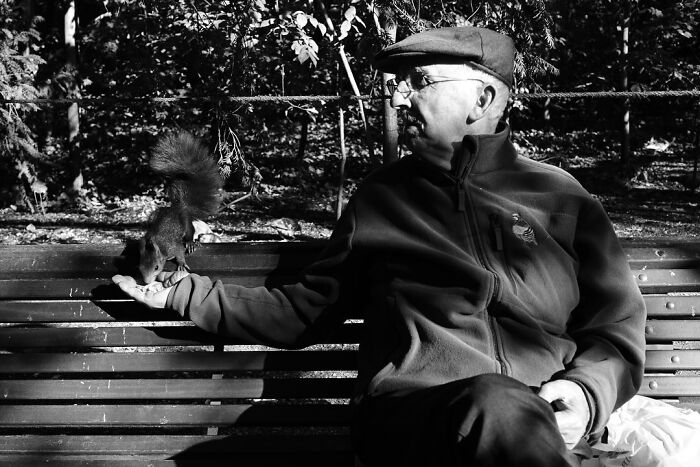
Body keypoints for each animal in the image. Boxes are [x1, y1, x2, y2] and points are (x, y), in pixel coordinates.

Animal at [138, 132, 223, 284]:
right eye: (139, 268)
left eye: (156, 267)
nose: (146, 282)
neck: (158, 244)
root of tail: (180, 206)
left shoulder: (173, 247)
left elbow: (179, 252)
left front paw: (182, 263)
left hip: (186, 222)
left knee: (190, 232)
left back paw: (191, 243)